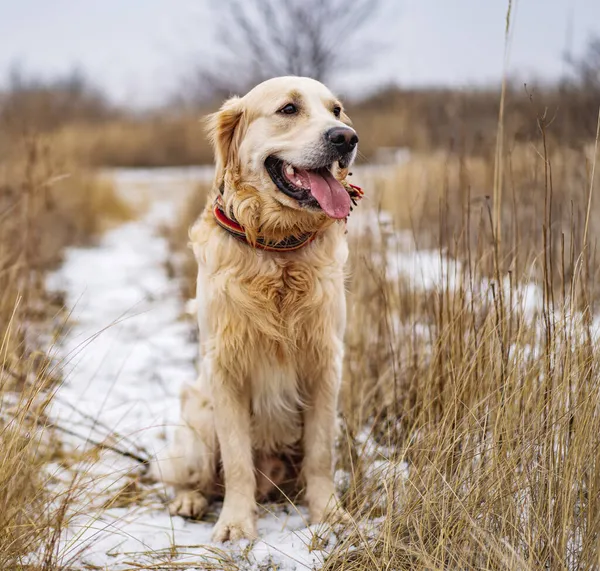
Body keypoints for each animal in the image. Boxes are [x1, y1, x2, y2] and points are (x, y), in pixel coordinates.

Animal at [155, 75, 360, 540]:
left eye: (336, 110)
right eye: (288, 109)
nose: (346, 138)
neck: (276, 247)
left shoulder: (326, 362)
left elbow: (320, 455)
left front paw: (329, 514)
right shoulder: (225, 367)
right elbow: (236, 461)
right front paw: (235, 524)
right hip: (197, 420)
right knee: (190, 477)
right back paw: (190, 500)